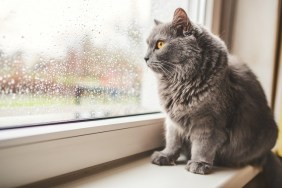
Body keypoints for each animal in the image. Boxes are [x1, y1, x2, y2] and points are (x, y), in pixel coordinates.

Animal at [145, 7, 282, 188]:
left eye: (160, 44)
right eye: (147, 44)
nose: (145, 58)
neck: (179, 83)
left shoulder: (210, 122)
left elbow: (203, 145)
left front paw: (198, 164)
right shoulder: (172, 122)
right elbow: (173, 141)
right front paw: (165, 156)